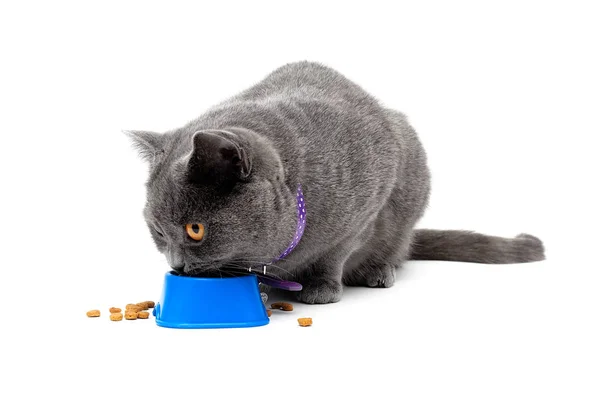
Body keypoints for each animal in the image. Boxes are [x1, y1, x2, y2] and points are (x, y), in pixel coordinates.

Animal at [125, 61, 544, 304]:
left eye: (195, 229)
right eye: (158, 232)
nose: (177, 265)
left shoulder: (365, 207)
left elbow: (334, 254)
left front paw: (321, 289)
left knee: (395, 250)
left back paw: (378, 271)